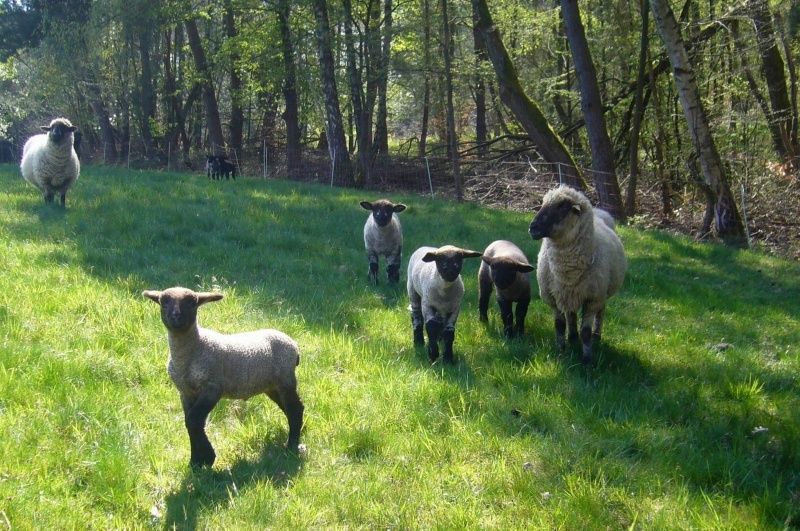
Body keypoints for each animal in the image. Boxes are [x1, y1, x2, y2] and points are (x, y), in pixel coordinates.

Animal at [141, 286, 304, 470]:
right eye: (164, 302)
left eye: (192, 303)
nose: (176, 316)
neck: (192, 351)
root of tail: (294, 345)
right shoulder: (186, 393)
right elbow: (189, 421)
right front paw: (195, 462)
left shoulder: (212, 387)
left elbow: (194, 420)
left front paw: (207, 458)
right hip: (272, 386)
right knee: (291, 408)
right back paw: (298, 433)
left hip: (286, 380)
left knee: (295, 409)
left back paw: (291, 446)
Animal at [528, 187, 628, 366]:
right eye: (543, 203)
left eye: (562, 206)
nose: (533, 228)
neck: (567, 270)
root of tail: (599, 210)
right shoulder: (553, 297)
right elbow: (559, 325)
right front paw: (561, 350)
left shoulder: (592, 299)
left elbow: (586, 332)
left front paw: (587, 360)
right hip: (569, 294)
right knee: (571, 314)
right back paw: (573, 336)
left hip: (601, 292)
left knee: (601, 312)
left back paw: (596, 335)